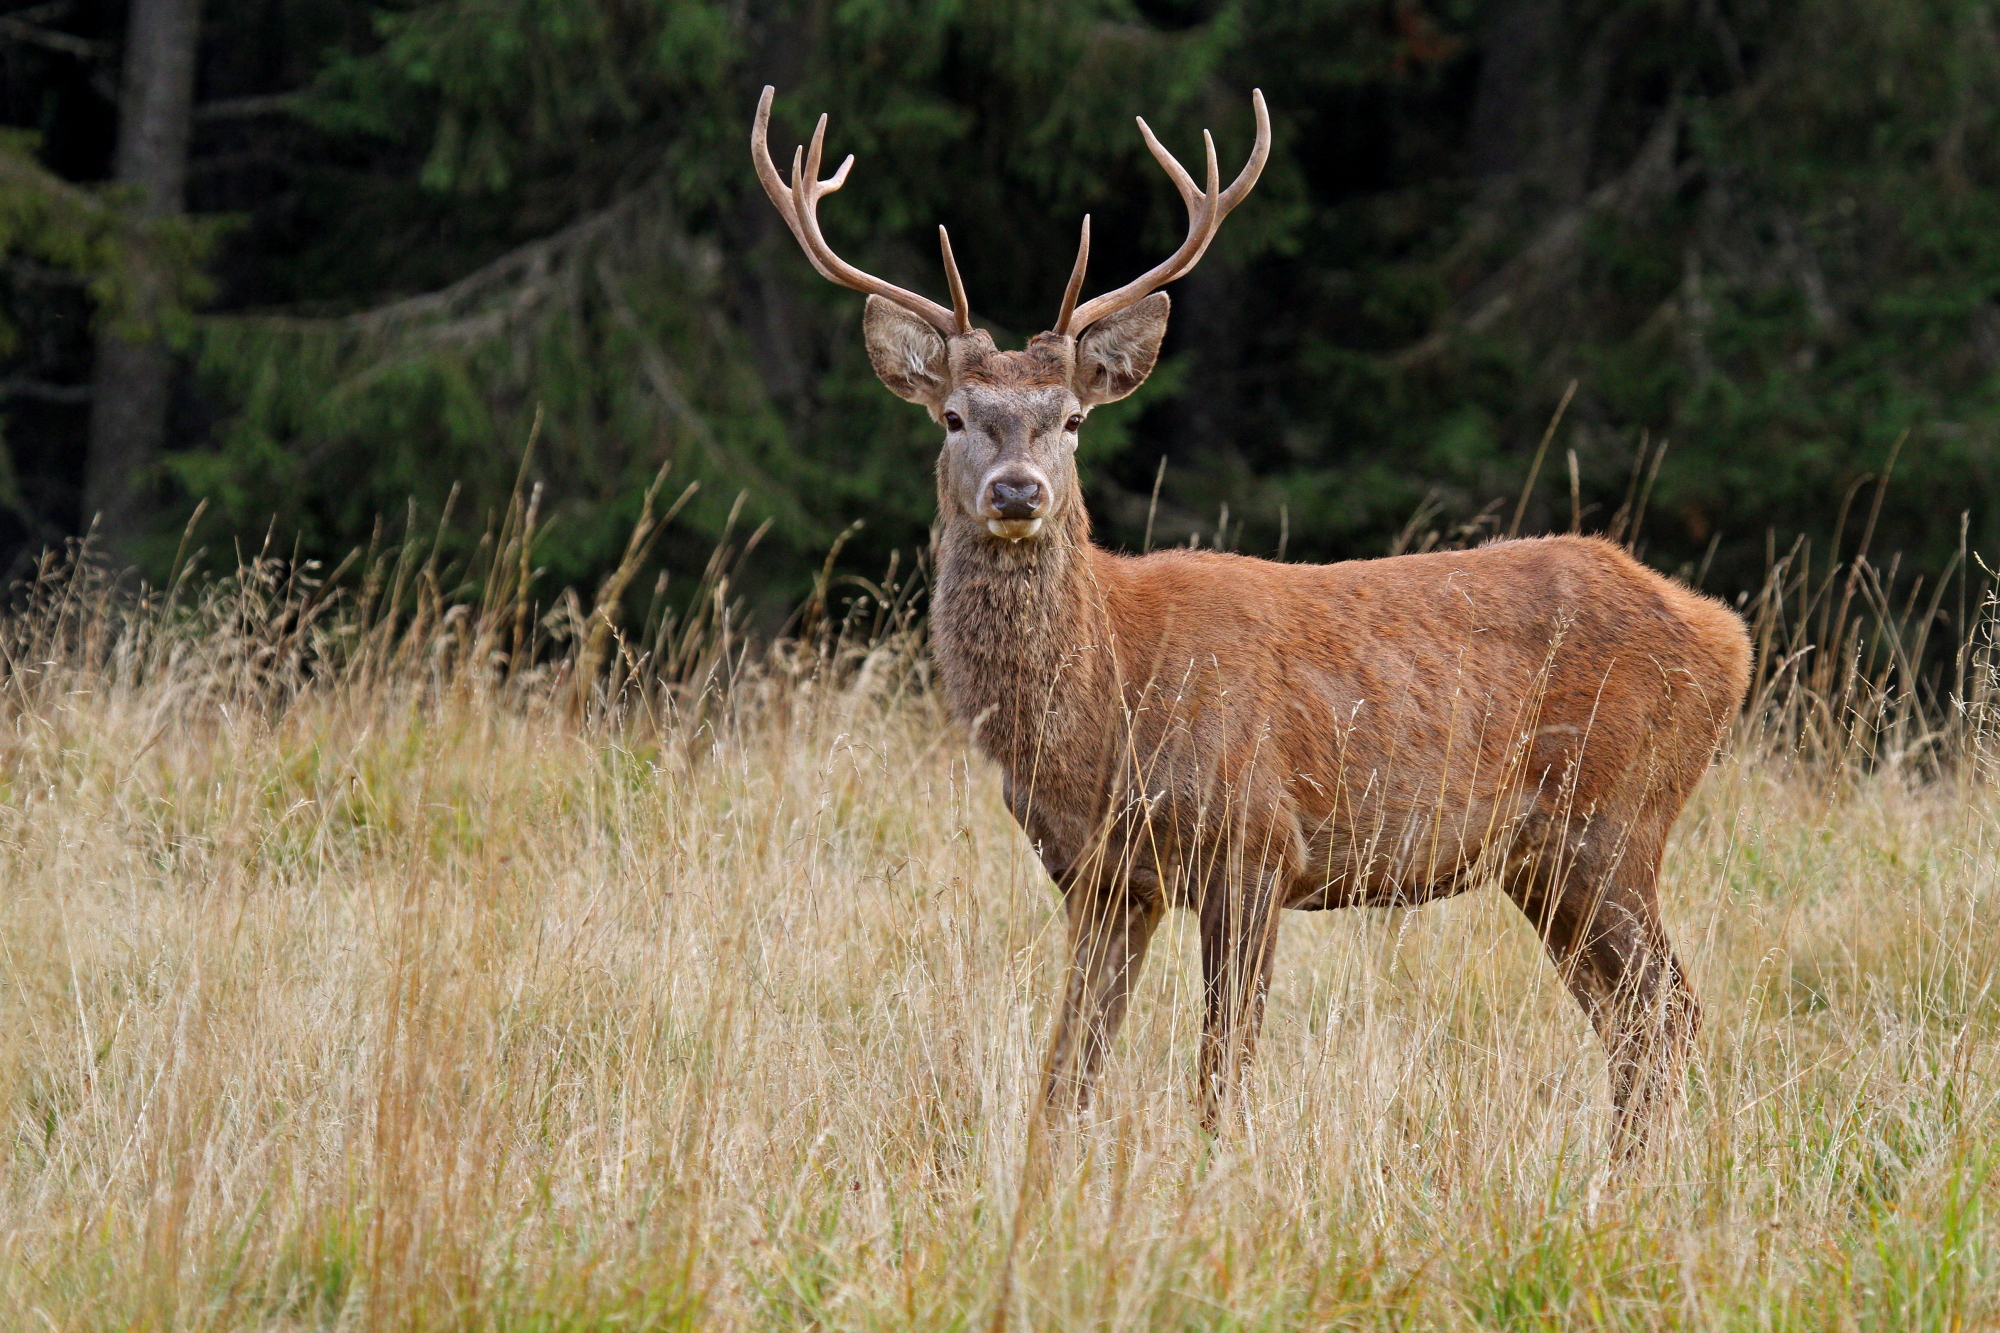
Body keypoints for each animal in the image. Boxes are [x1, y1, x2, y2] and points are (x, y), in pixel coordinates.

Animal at [752, 85, 1751, 1156]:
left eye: (1072, 420)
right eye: (951, 417)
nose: (1017, 491)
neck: (1105, 706)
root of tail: (1726, 636)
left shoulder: (1257, 838)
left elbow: (1221, 1066)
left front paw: (1216, 1168)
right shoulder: (1101, 877)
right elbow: (1069, 1069)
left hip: (1617, 818)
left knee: (1667, 1006)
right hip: (1550, 862)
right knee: (1632, 1015)